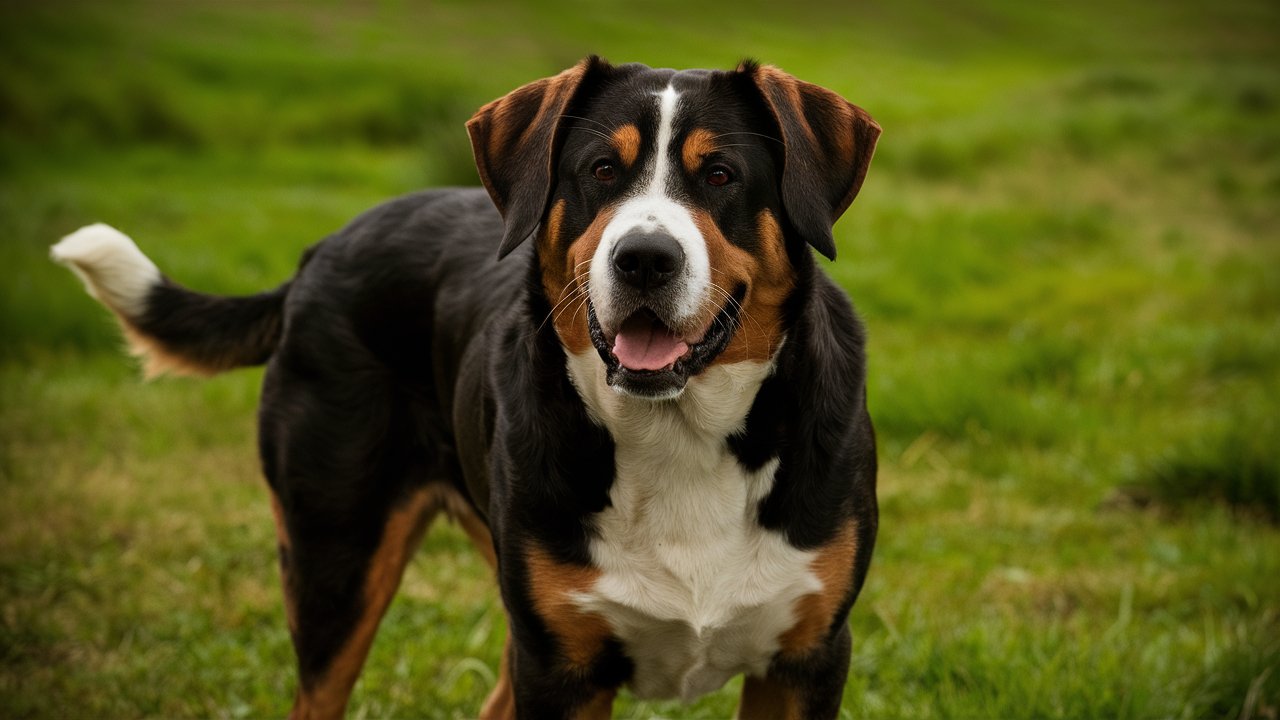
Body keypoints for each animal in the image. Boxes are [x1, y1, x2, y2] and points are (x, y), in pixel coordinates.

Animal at [55, 57, 885, 717]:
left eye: (720, 175)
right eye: (601, 171)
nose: (645, 259)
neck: (678, 437)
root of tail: (322, 249)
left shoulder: (807, 661)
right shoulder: (560, 665)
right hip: (338, 558)